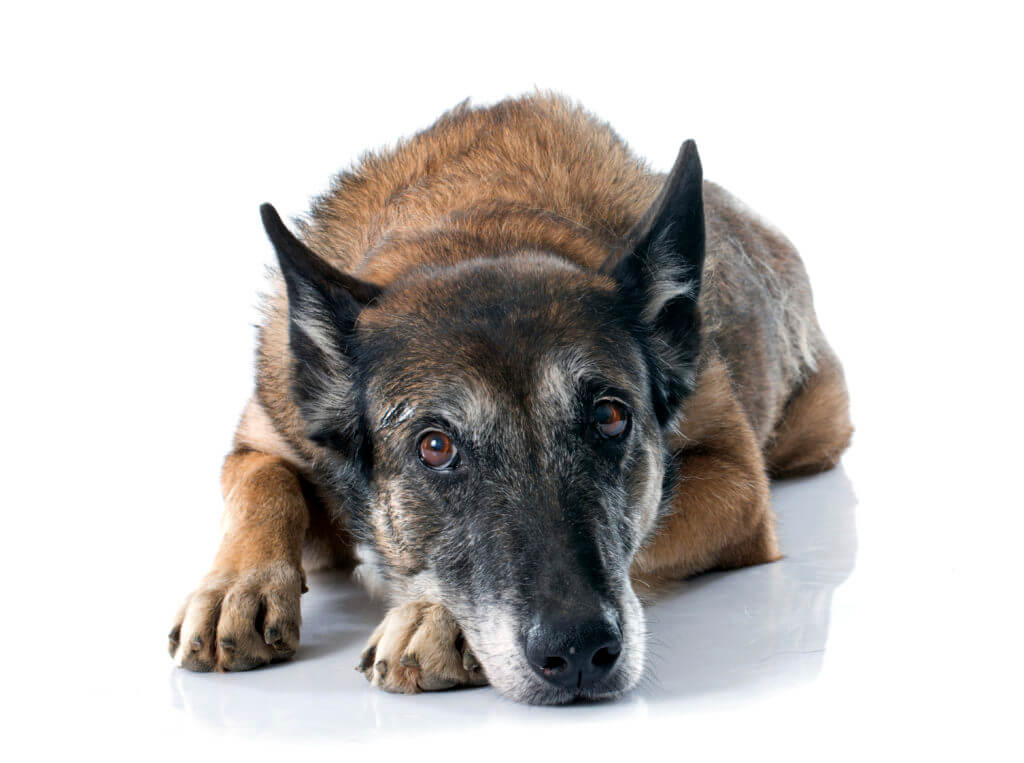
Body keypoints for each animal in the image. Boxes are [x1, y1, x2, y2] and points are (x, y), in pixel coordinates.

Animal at [167, 93, 851, 700]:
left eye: (610, 417)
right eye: (435, 447)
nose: (580, 652)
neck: (476, 226)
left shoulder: (738, 483)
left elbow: (649, 534)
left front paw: (437, 617)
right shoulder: (266, 435)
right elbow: (263, 484)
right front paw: (236, 589)